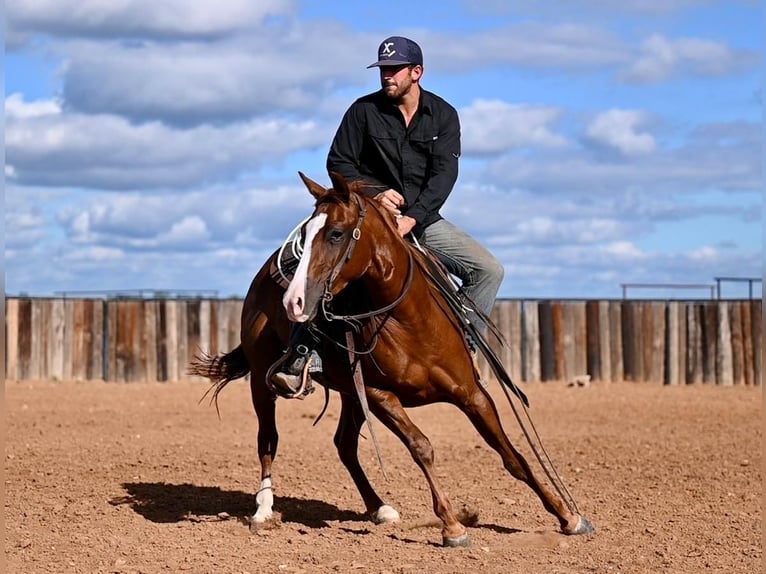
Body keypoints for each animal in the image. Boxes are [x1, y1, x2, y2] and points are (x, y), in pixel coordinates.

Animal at [190, 172, 592, 548]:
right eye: (307, 233)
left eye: (336, 233)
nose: (294, 301)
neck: (412, 322)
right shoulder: (379, 395)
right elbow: (422, 447)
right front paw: (452, 526)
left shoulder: (472, 393)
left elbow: (511, 454)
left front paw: (569, 516)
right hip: (264, 380)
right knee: (268, 439)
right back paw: (263, 510)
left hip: (348, 393)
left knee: (344, 444)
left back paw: (379, 507)